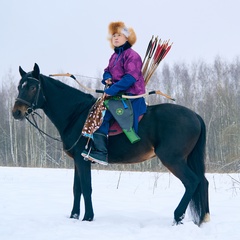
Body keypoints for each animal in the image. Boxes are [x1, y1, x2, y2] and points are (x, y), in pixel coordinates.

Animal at [12, 62, 209, 226]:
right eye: (19, 86)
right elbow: (77, 189)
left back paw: (177, 216)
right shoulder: (77, 160)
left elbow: (86, 188)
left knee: (192, 181)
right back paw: (203, 218)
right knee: (203, 182)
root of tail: (195, 116)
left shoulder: (83, 160)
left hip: (173, 159)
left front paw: (88, 217)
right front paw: (74, 216)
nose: (16, 112)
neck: (76, 115)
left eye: (32, 87)